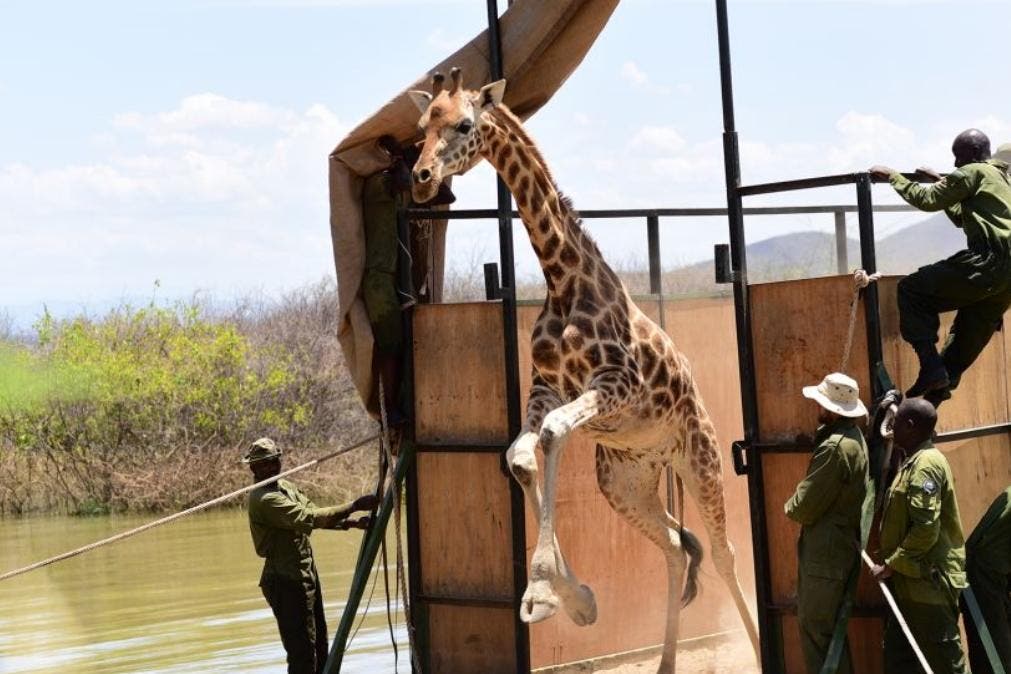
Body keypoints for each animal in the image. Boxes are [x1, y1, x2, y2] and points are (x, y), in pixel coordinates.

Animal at [408, 71, 760, 670]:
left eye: (464, 124)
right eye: (421, 125)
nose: (421, 177)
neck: (562, 278)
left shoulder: (615, 383)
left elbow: (550, 437)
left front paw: (545, 590)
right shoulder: (546, 386)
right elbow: (521, 455)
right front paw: (573, 598)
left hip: (702, 460)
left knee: (723, 552)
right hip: (624, 483)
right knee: (675, 548)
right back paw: (666, 661)